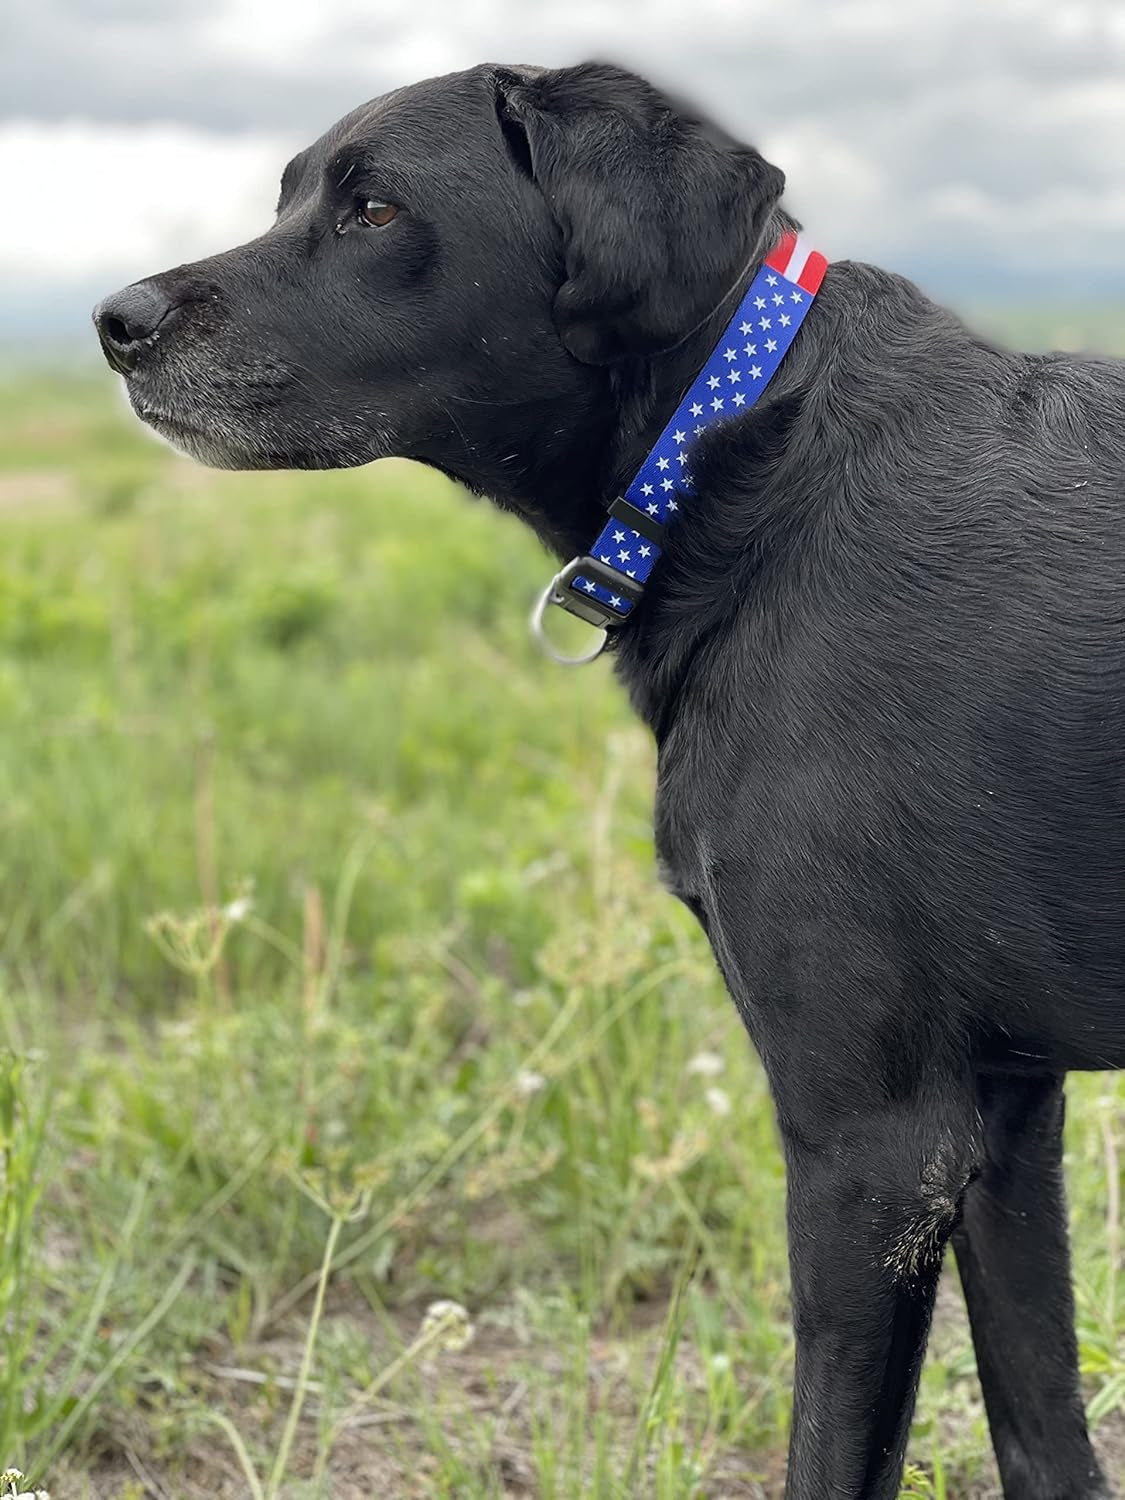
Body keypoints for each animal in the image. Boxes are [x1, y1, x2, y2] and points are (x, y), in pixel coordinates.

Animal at [92, 61, 1122, 1500]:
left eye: (372, 208)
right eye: (290, 192)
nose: (114, 322)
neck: (736, 446)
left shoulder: (876, 1142)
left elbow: (829, 1452)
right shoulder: (1006, 1114)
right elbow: (1042, 1431)